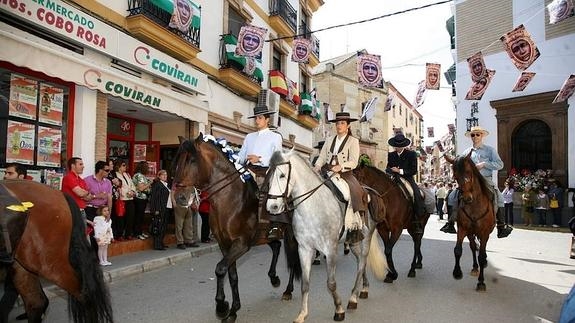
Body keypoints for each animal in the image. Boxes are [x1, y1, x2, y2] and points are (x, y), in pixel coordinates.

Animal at [171, 135, 302, 322]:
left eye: (192, 160)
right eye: (178, 160)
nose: (179, 197)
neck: (230, 200)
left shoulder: (241, 244)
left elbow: (220, 269)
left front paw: (222, 307)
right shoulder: (225, 245)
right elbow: (231, 275)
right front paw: (232, 310)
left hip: (291, 234)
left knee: (293, 257)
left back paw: (288, 290)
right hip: (264, 235)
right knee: (276, 246)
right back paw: (274, 278)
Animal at [266, 151, 388, 322]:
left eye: (282, 175)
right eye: (269, 175)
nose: (272, 207)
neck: (313, 207)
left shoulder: (330, 250)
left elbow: (331, 283)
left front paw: (339, 309)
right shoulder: (304, 249)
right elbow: (305, 284)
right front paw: (302, 314)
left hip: (366, 239)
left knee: (362, 262)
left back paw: (353, 298)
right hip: (354, 242)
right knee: (361, 262)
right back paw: (363, 289)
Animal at [446, 153, 496, 292]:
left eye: (469, 172)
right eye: (455, 176)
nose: (467, 198)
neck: (474, 206)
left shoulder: (484, 232)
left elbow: (482, 255)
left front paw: (481, 282)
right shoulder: (462, 228)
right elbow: (458, 250)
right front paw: (457, 273)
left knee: (482, 251)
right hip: (470, 233)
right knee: (473, 247)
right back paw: (475, 267)